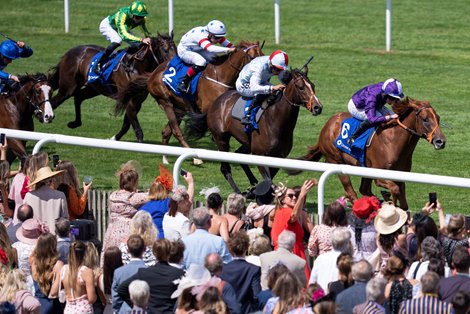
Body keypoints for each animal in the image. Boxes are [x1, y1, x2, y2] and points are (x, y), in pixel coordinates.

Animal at [116, 40, 264, 163]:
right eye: (252, 57)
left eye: (262, 55)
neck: (220, 76)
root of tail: (152, 75)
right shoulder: (209, 110)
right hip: (165, 102)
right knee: (176, 131)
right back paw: (194, 157)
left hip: (179, 108)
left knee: (166, 131)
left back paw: (165, 158)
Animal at [184, 62, 324, 193]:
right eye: (301, 87)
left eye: (313, 86)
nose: (318, 107)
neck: (277, 122)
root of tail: (216, 102)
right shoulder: (260, 155)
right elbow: (268, 181)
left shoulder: (278, 157)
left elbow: (269, 180)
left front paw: (254, 191)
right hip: (221, 139)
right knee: (225, 168)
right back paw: (239, 192)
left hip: (247, 142)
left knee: (239, 155)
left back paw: (252, 184)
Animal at [296, 97, 446, 211]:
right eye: (425, 119)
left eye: (438, 118)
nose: (441, 141)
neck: (394, 142)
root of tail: (328, 124)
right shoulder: (379, 176)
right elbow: (395, 189)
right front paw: (390, 201)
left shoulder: (400, 175)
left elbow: (403, 203)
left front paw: (389, 201)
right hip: (335, 160)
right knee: (351, 192)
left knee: (364, 190)